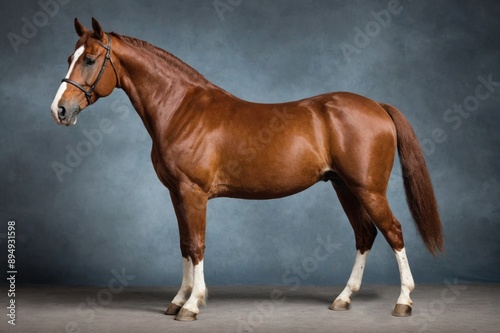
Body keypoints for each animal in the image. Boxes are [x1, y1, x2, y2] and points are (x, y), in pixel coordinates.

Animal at [49, 17, 442, 320]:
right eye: (70, 57)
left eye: (90, 60)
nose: (59, 110)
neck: (181, 108)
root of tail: (377, 105)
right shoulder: (176, 195)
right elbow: (184, 245)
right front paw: (177, 300)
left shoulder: (193, 193)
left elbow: (198, 244)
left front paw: (192, 305)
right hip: (343, 186)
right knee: (365, 235)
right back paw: (343, 299)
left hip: (368, 188)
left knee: (393, 231)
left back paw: (403, 301)